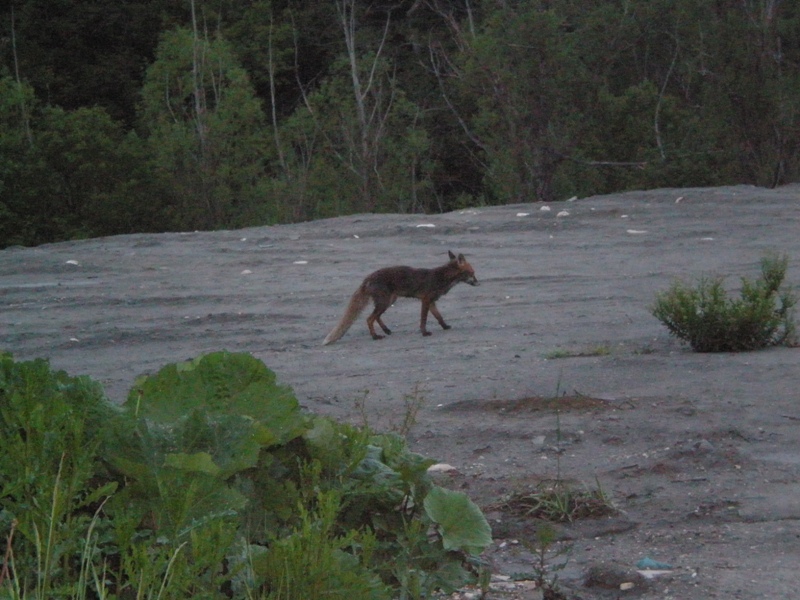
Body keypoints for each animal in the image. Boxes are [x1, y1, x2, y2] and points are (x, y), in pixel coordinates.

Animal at [322, 250, 478, 344]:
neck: (442, 277)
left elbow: (439, 317)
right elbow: (423, 319)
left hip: (389, 301)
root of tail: (367, 278)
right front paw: (424, 332)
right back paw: (375, 336)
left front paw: (445, 327)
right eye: (472, 273)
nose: (478, 282)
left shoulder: (432, 301)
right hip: (384, 302)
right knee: (369, 318)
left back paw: (386, 330)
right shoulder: (425, 300)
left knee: (376, 317)